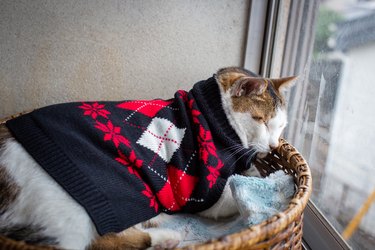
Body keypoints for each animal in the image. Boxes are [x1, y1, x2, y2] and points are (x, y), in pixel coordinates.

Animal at [0, 67, 296, 250]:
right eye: (261, 120)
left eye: (281, 126)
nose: (273, 145)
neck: (215, 117)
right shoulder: (204, 194)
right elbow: (236, 191)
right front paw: (269, 181)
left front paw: (255, 170)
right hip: (69, 211)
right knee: (100, 243)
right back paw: (165, 235)